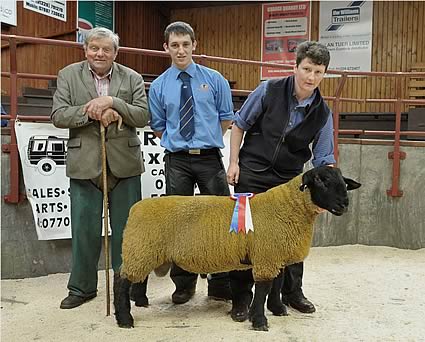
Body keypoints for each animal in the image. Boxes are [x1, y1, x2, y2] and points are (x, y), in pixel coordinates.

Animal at [114, 166, 360, 332]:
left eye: (344, 182)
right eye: (320, 180)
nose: (344, 205)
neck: (289, 207)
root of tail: (135, 207)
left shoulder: (275, 255)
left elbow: (276, 285)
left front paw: (278, 309)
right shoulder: (266, 255)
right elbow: (262, 289)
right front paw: (259, 321)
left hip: (145, 250)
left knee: (138, 278)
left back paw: (141, 301)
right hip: (141, 248)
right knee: (121, 280)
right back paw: (125, 319)